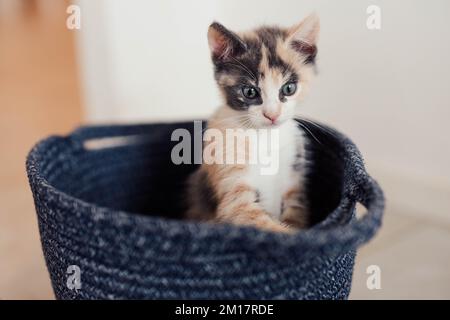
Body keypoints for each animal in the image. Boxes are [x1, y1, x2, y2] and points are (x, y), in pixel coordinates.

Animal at [186, 13, 320, 232]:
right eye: (250, 92)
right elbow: (270, 228)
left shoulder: (294, 186)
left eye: (289, 88)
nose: (272, 115)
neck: (266, 136)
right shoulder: (234, 198)